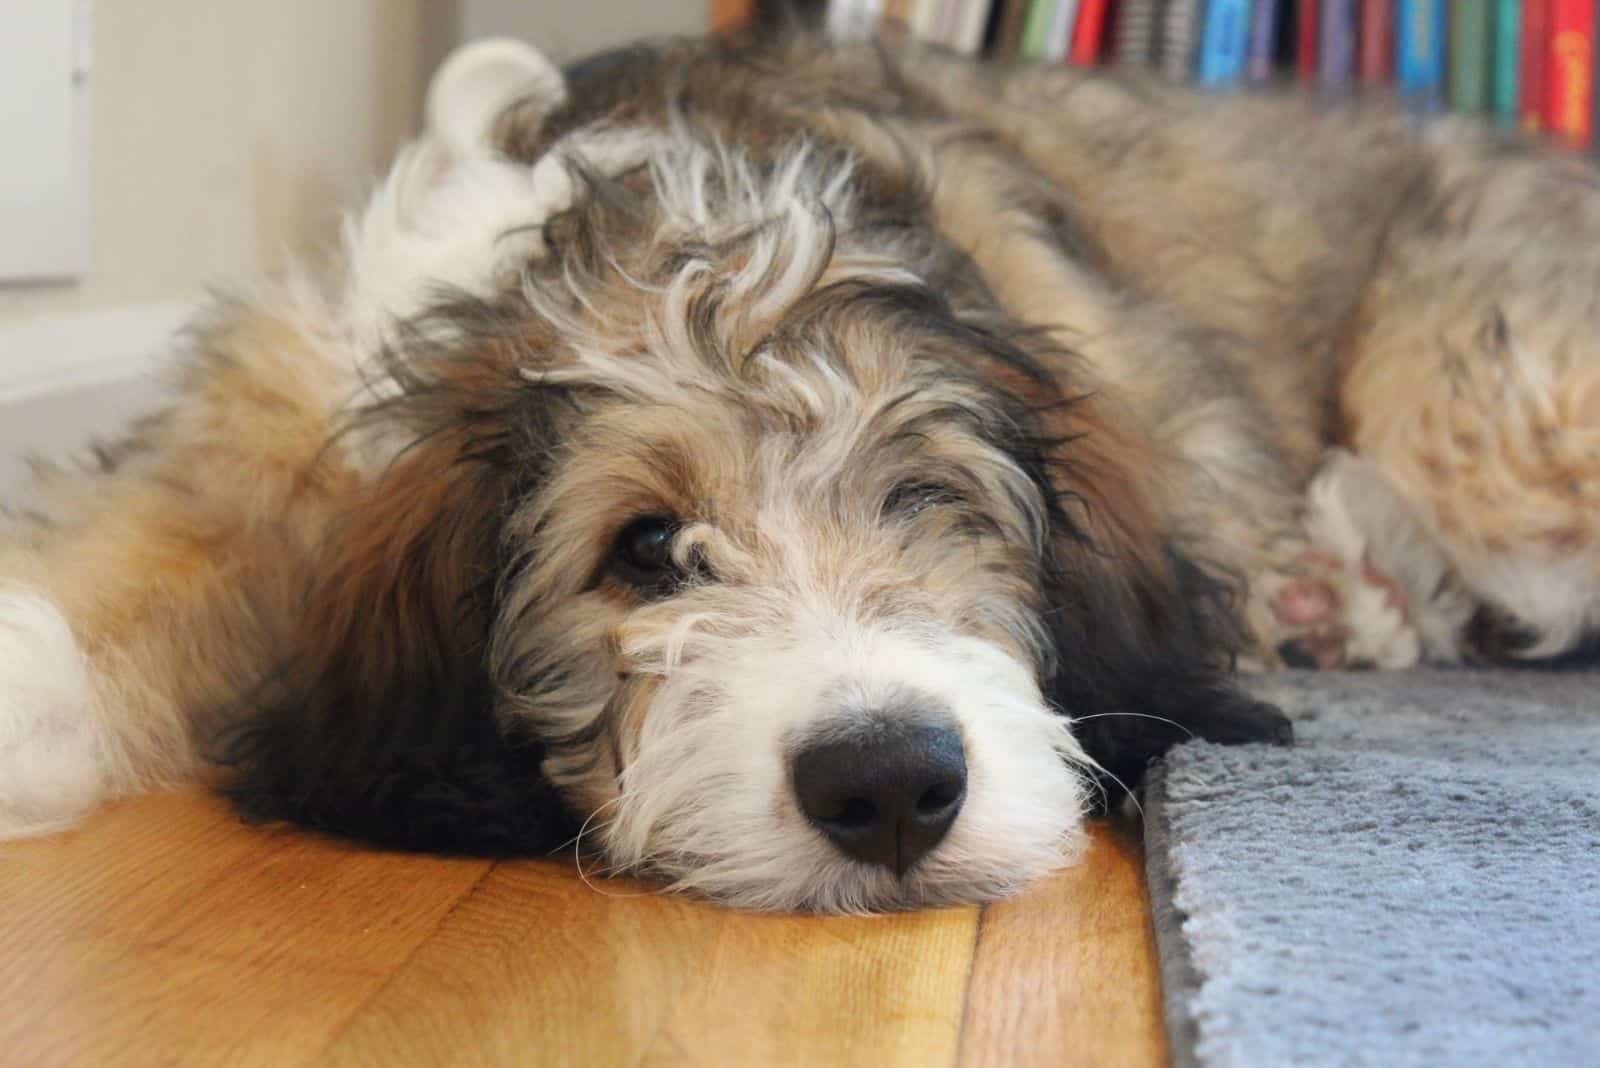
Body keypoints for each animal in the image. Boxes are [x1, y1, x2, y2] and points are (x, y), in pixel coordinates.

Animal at [3, 37, 1600, 914]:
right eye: (644, 549)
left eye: (927, 500)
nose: (889, 783)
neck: (669, 222)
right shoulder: (278, 417)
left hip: (1481, 397)